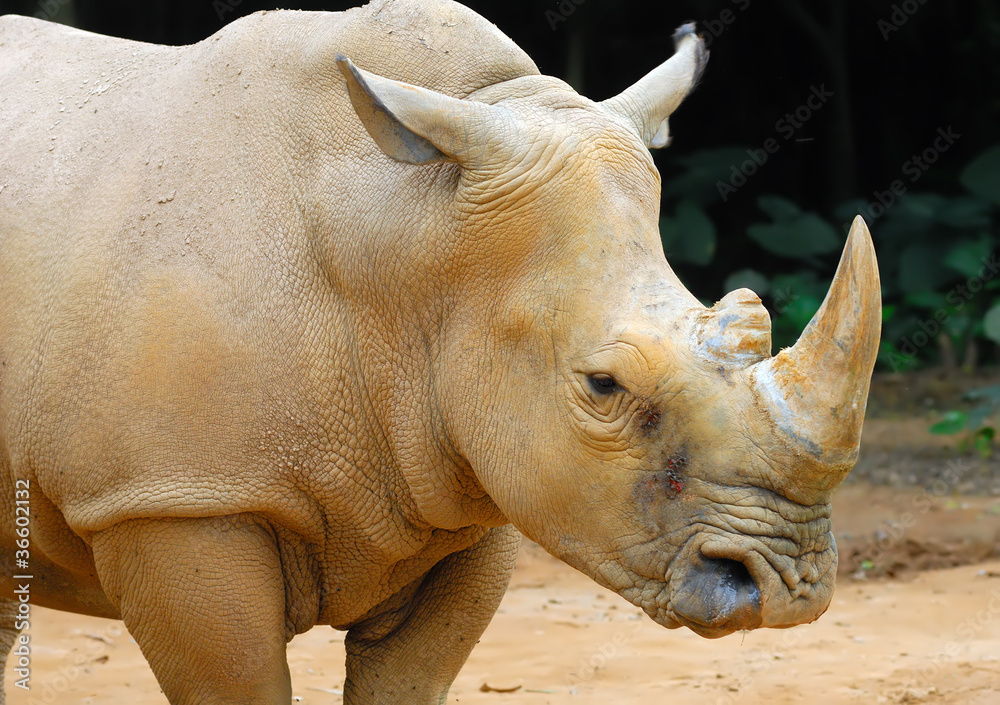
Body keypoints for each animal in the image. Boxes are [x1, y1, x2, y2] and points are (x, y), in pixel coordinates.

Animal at [0, 0, 880, 702]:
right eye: (603, 385)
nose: (792, 586)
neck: (411, 238)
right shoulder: (172, 496)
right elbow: (236, 683)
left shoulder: (464, 484)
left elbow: (409, 679)